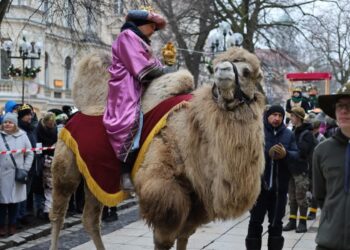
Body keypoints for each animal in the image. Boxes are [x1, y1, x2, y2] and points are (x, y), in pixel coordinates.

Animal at [49, 47, 266, 250]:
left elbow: (184, 236)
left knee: (91, 220)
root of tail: (77, 114)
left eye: (247, 72)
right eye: (216, 65)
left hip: (94, 177)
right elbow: (164, 240)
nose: (223, 70)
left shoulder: (197, 199)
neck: (190, 132)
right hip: (65, 168)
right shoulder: (163, 191)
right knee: (58, 212)